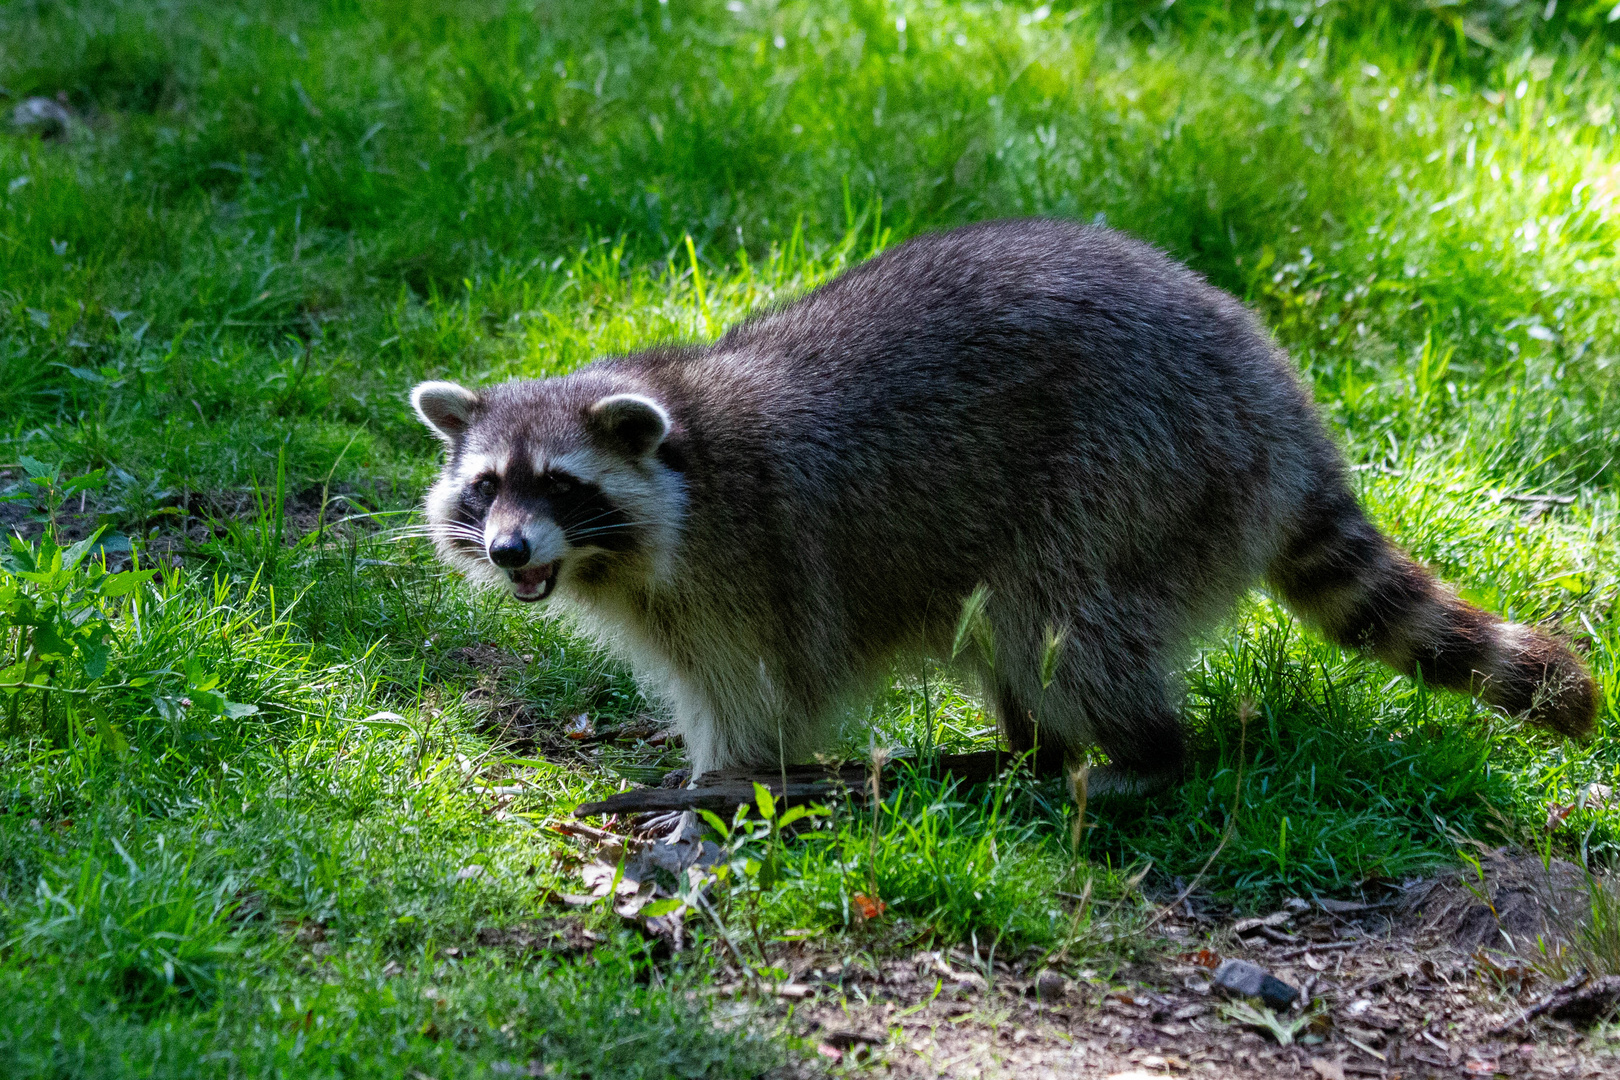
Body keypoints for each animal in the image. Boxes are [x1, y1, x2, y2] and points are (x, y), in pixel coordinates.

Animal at [411, 221, 1600, 793]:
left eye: (563, 485)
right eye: (487, 486)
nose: (510, 548)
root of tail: (1284, 407)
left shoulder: (748, 571)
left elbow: (755, 696)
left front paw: (722, 785)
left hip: (1146, 465)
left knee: (1061, 615)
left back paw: (1138, 756)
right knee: (1012, 628)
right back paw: (1026, 751)